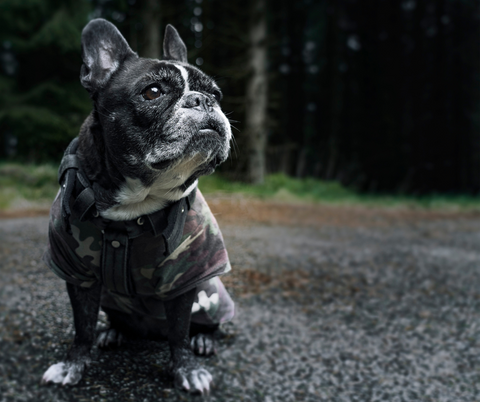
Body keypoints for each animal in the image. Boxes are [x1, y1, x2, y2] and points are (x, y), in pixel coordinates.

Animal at [40, 18, 234, 392]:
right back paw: (112, 332)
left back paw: (203, 340)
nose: (203, 100)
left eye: (217, 94)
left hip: (211, 293)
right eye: (153, 92)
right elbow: (82, 325)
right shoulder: (77, 275)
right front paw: (72, 364)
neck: (137, 202)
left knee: (204, 324)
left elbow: (179, 331)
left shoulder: (186, 279)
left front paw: (186, 370)